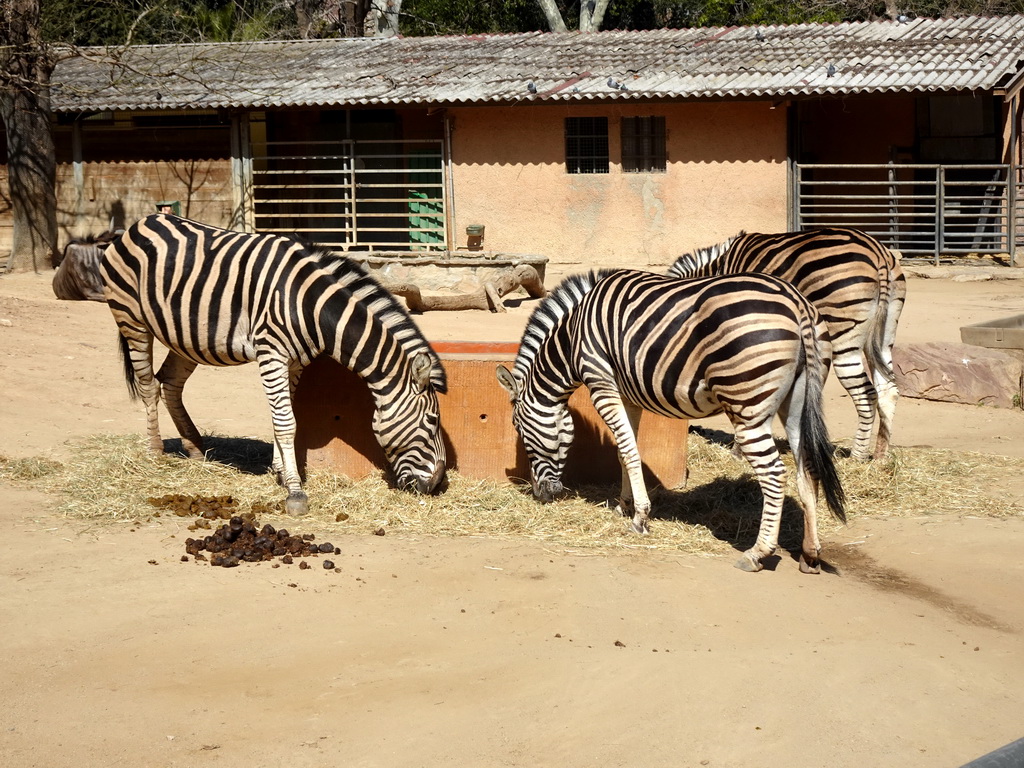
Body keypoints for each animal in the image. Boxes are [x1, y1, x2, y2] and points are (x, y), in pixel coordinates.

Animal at [100, 215, 448, 518]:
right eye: (432, 421)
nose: (437, 486)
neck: (310, 306)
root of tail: (141, 222)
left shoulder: (294, 363)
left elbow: (281, 418)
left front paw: (280, 472)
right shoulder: (272, 353)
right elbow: (286, 423)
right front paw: (294, 491)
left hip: (186, 334)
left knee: (170, 383)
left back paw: (196, 451)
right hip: (131, 318)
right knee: (148, 385)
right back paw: (155, 453)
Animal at [497, 270, 847, 577]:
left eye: (522, 435)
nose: (541, 496)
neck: (572, 339)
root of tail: (797, 302)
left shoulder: (602, 383)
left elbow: (628, 451)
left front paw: (640, 517)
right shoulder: (628, 394)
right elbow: (626, 451)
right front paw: (625, 505)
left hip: (747, 403)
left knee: (774, 474)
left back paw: (757, 554)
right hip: (798, 398)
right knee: (807, 469)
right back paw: (810, 555)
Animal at [671, 225, 905, 460]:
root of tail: (878, 252)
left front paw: (738, 451)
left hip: (843, 333)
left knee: (867, 394)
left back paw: (857, 457)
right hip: (885, 334)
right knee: (888, 389)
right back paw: (879, 456)